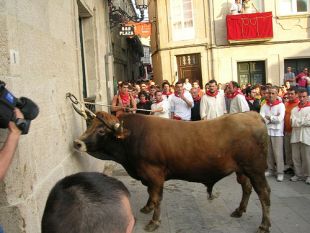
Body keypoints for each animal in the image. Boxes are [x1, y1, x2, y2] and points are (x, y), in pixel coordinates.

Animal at [74, 111, 270, 233]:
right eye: (89, 125)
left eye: (101, 130)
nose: (77, 142)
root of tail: (252, 115)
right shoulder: (148, 176)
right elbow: (150, 194)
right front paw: (147, 208)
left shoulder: (154, 174)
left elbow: (156, 197)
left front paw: (153, 221)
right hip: (242, 170)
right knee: (246, 188)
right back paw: (239, 210)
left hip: (256, 170)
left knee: (264, 194)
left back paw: (264, 225)